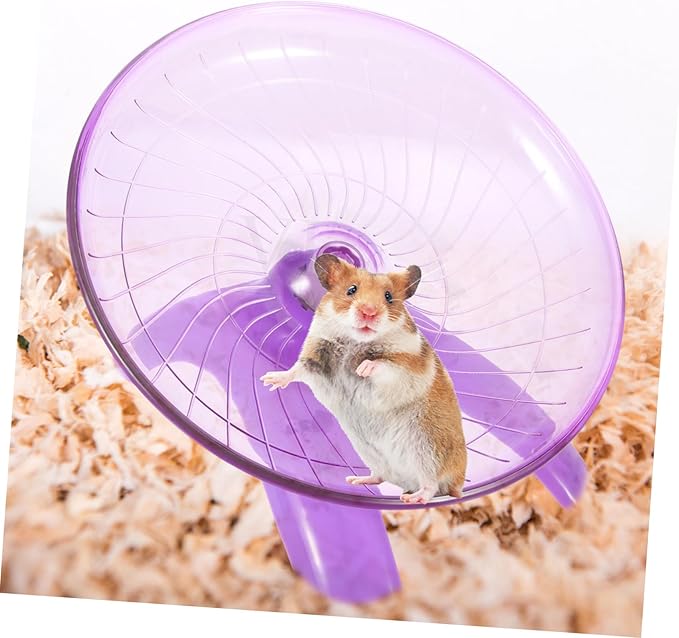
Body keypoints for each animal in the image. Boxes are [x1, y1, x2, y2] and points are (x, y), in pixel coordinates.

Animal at [260, 254, 467, 504]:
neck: (355, 340)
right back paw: (355, 480)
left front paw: (362, 369)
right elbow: (296, 370)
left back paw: (411, 499)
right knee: (381, 476)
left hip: (428, 451)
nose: (369, 312)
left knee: (431, 486)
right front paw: (268, 380)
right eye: (351, 290)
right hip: (372, 454)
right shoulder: (316, 359)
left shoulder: (407, 367)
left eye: (388, 297)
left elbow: (384, 364)